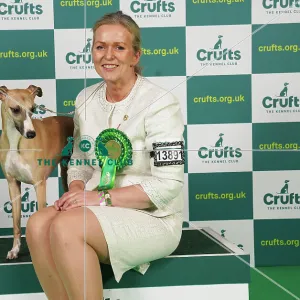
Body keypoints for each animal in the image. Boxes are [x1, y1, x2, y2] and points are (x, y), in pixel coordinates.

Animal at [0, 85, 74, 260]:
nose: (31, 134)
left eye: (33, 109)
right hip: (65, 174)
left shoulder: (39, 184)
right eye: (15, 109)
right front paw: (15, 249)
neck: (16, 142)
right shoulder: (12, 184)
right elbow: (16, 222)